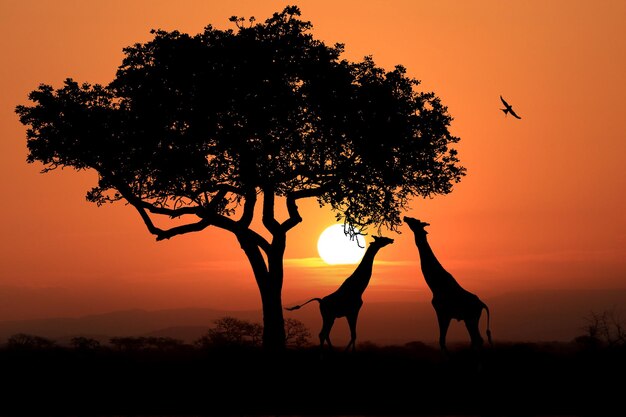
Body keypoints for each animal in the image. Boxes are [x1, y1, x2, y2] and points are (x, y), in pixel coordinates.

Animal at [402, 216, 490, 352]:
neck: (436, 286)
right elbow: (442, 341)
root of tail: (481, 304)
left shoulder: (443, 313)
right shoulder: (444, 313)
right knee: (476, 340)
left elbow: (442, 341)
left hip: (471, 318)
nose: (405, 217)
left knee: (477, 339)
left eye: (415, 221)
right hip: (469, 319)